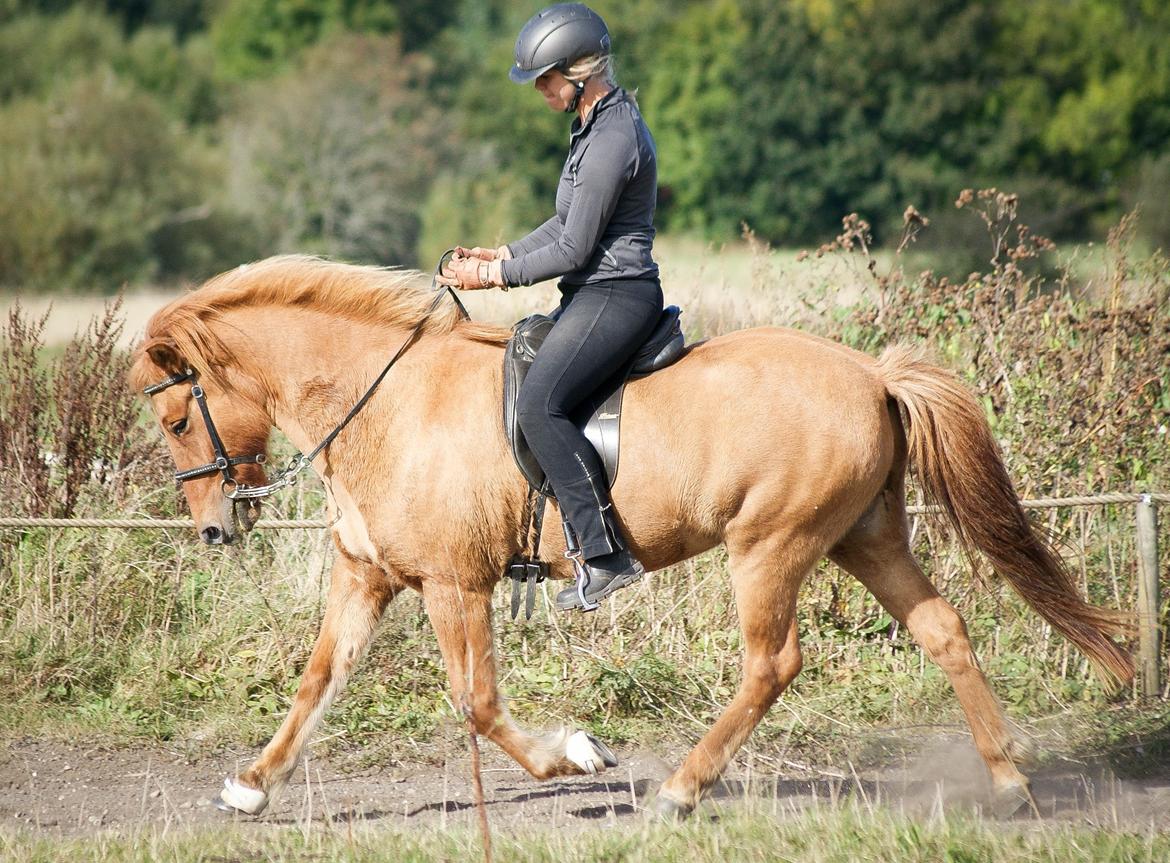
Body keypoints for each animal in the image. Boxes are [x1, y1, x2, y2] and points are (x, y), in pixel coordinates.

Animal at [130, 253, 1132, 813]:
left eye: (177, 419)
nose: (213, 531)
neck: (384, 401)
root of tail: (871, 372)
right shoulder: (367, 576)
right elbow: (317, 682)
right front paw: (252, 784)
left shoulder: (457, 584)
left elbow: (477, 702)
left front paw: (575, 753)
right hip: (865, 536)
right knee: (942, 628)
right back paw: (1007, 783)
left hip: (770, 546)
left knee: (772, 662)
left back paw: (685, 788)